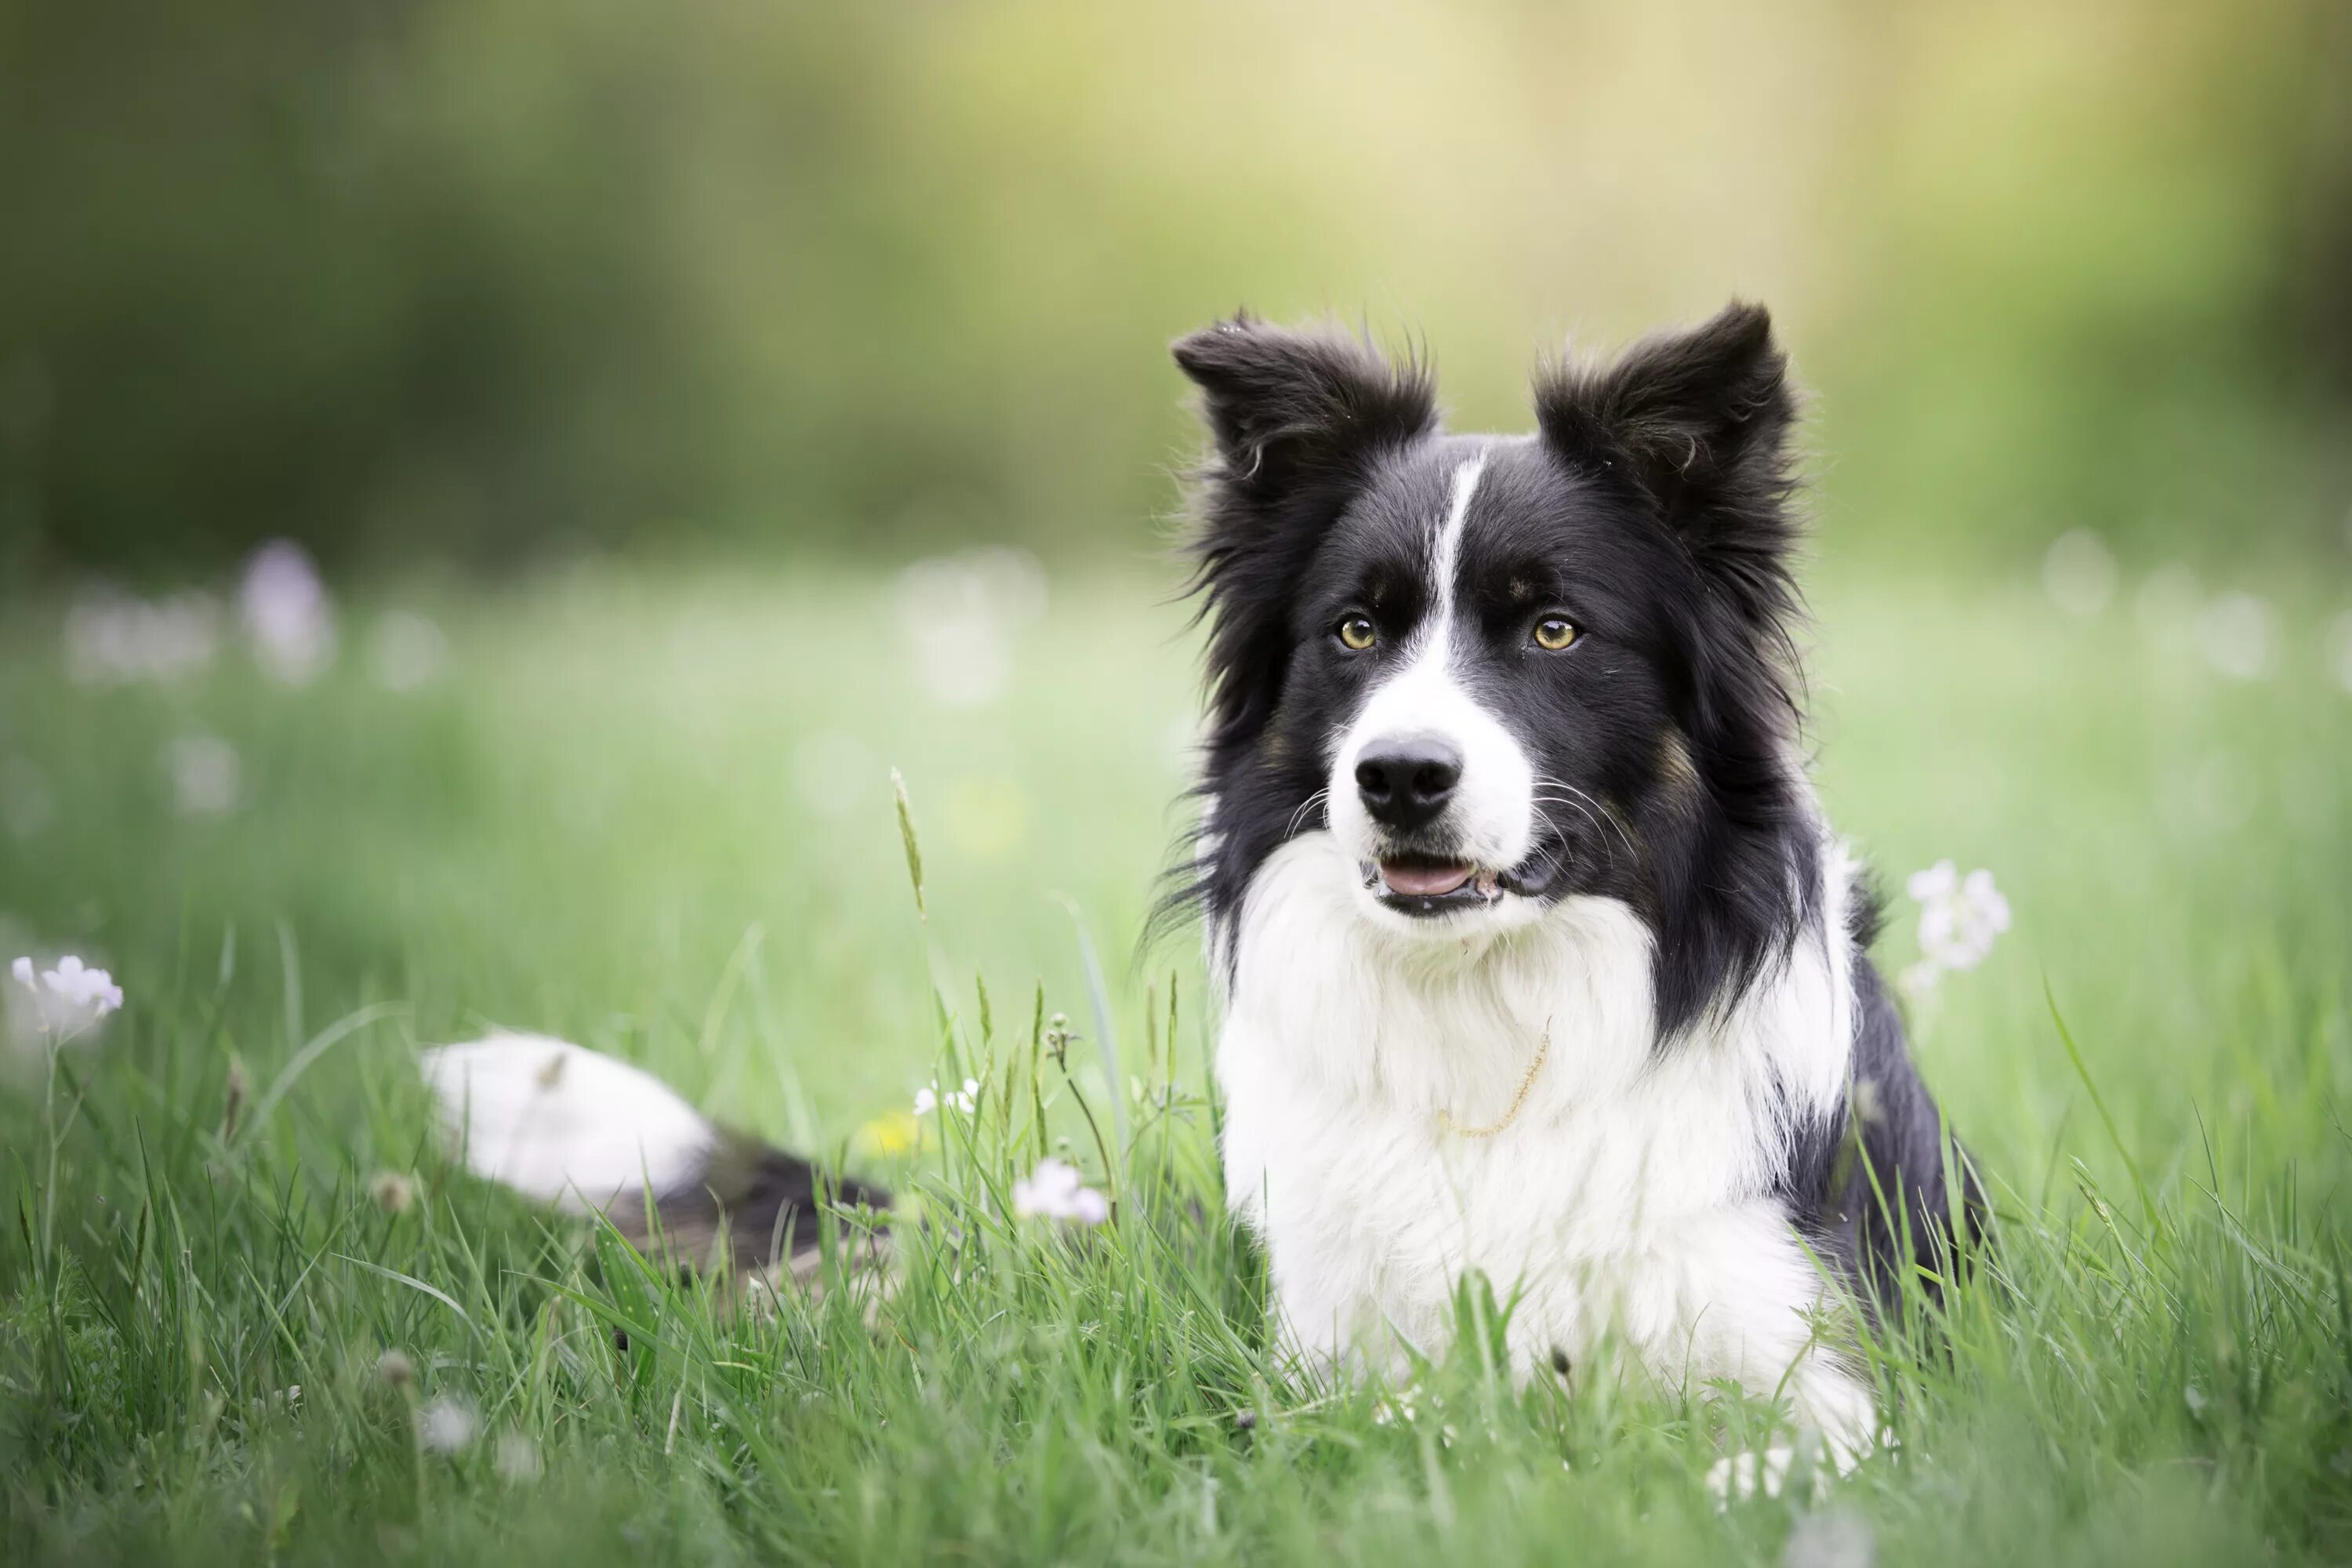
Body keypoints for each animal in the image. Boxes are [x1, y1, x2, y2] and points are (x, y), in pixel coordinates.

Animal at [1171, 297, 1966, 1486]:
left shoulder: (1840, 1383)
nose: (1399, 776)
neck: (1493, 1012)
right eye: (1357, 629)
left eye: (1555, 629)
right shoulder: (1326, 1354)